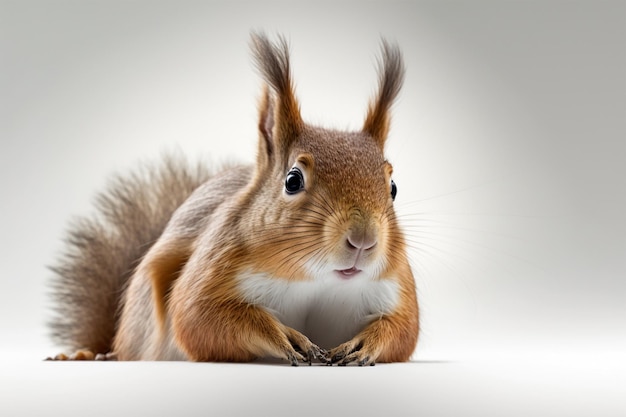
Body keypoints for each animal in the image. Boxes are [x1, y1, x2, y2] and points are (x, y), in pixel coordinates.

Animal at [47, 32, 420, 364]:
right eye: (292, 180)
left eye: (393, 187)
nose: (363, 240)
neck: (316, 278)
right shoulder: (213, 267)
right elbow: (200, 318)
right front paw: (284, 335)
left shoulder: (395, 286)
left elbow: (403, 331)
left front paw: (366, 344)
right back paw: (92, 355)